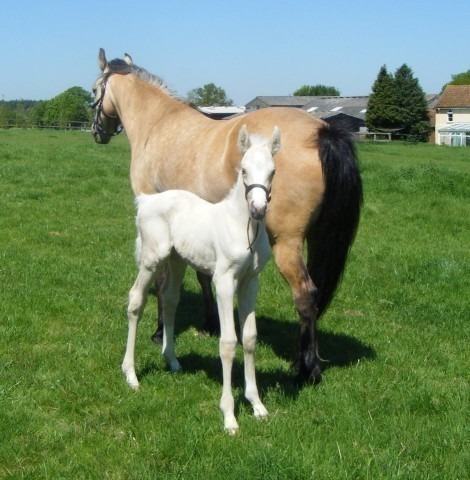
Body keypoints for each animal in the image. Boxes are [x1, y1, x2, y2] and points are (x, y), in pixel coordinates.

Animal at [91, 48, 363, 384]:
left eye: (94, 90)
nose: (98, 132)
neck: (157, 123)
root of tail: (323, 130)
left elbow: (163, 281)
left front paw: (159, 332)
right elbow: (202, 275)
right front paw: (209, 322)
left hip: (286, 243)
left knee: (305, 295)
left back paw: (307, 368)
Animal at [122, 125, 280, 433]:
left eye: (272, 172)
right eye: (243, 170)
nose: (258, 208)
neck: (242, 226)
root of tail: (146, 200)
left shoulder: (250, 282)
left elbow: (250, 338)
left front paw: (257, 405)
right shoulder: (224, 281)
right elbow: (228, 342)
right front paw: (229, 415)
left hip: (177, 259)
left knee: (170, 298)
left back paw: (172, 360)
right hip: (152, 257)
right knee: (136, 301)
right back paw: (131, 375)